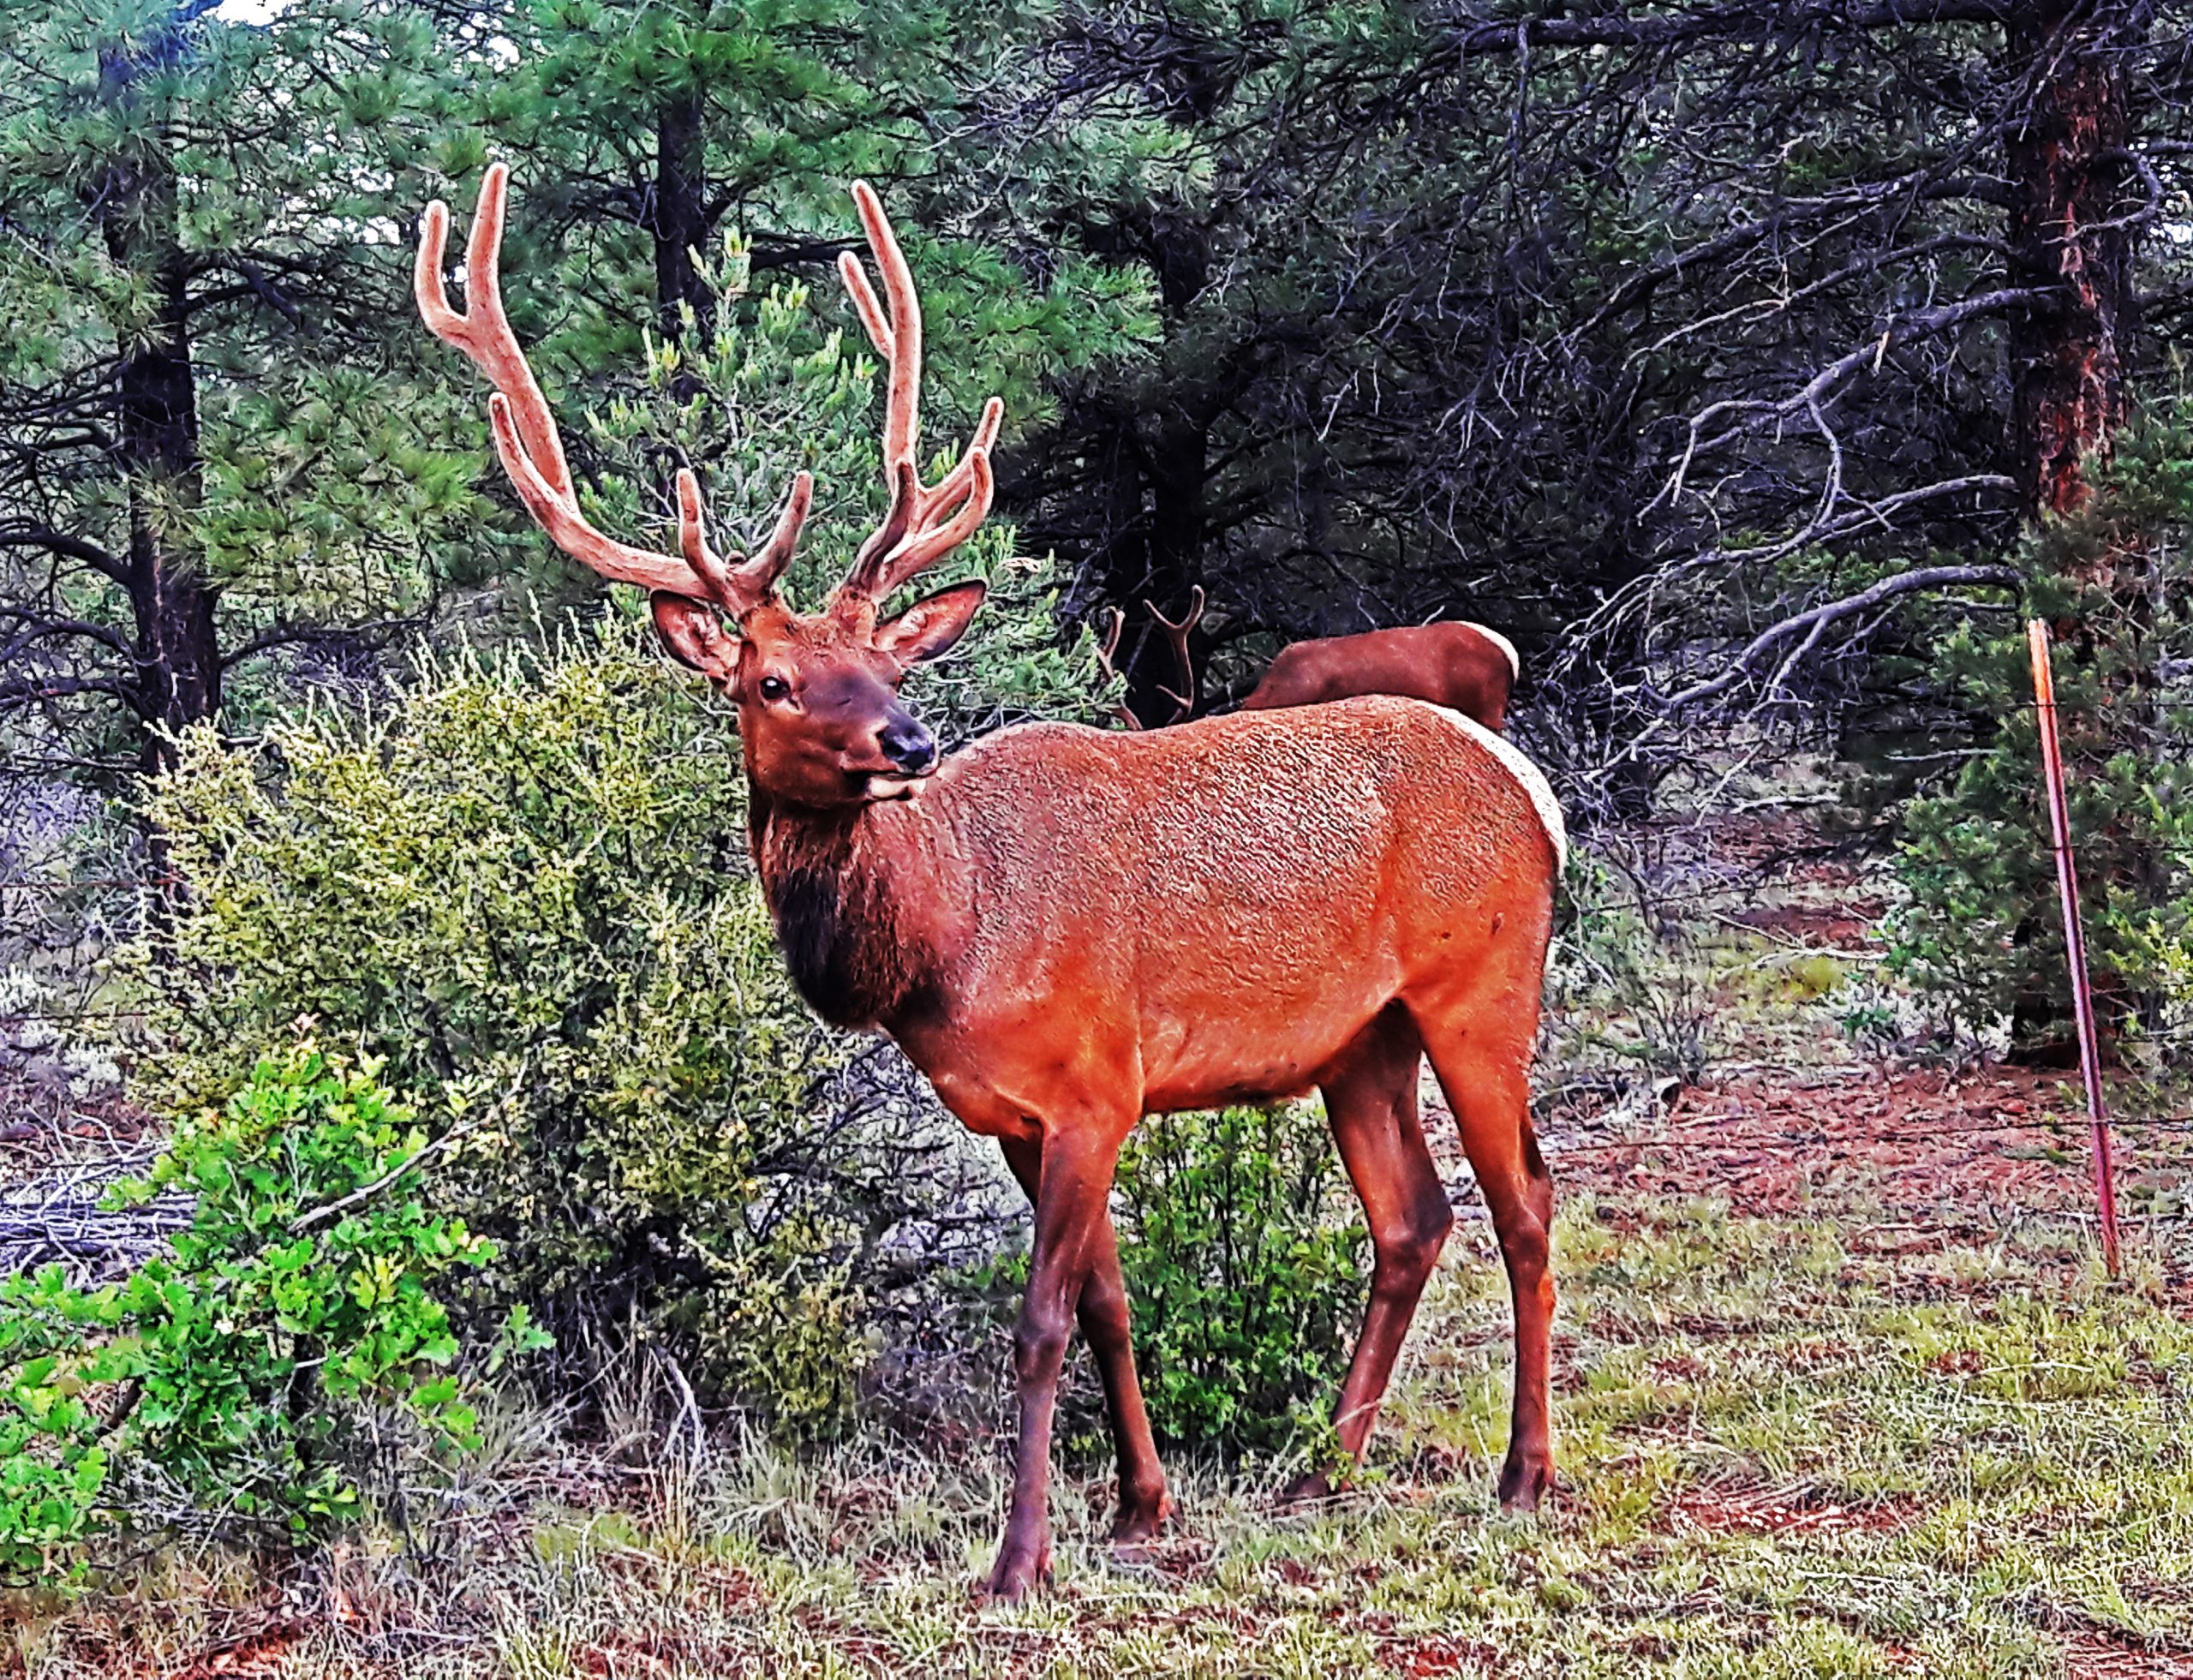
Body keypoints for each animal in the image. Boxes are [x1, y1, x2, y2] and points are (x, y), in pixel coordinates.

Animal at [418, 167, 1569, 1605]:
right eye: (772, 680)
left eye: (888, 661)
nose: (908, 743)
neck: (945, 945)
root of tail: (1536, 794)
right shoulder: (1016, 1115)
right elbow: (1111, 1304)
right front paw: (1140, 1505)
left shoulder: (1097, 1083)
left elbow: (1037, 1322)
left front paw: (1019, 1558)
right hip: (1360, 1039)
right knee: (1413, 1219)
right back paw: (1323, 1472)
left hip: (1482, 986)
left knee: (1524, 1202)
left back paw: (1524, 1473)